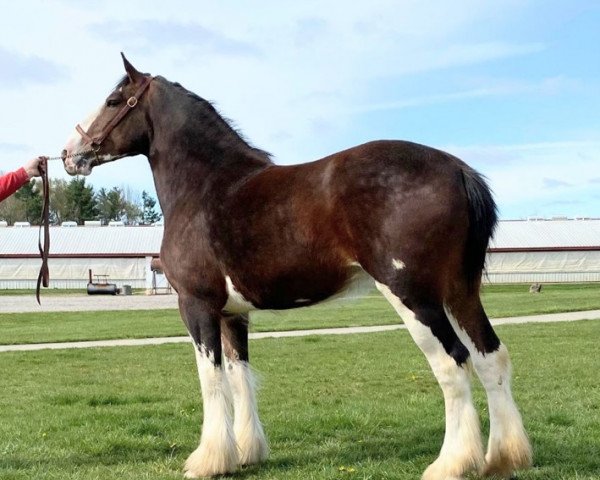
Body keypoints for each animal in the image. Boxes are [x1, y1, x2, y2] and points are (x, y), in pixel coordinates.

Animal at [62, 54, 528, 478]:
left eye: (112, 100)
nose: (69, 153)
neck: (208, 187)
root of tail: (458, 169)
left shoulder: (196, 306)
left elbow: (211, 379)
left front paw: (208, 461)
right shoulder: (233, 314)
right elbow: (240, 377)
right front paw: (246, 454)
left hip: (413, 295)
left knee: (453, 363)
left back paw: (451, 464)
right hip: (460, 291)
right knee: (490, 357)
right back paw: (503, 458)